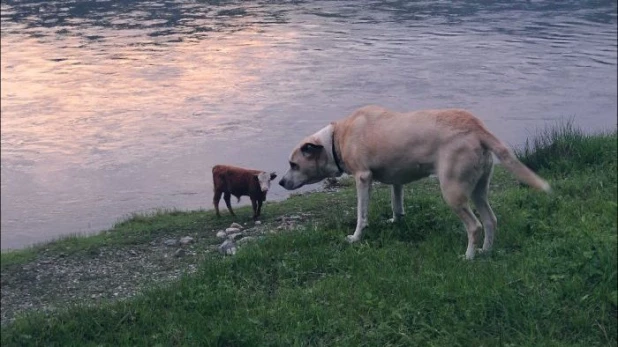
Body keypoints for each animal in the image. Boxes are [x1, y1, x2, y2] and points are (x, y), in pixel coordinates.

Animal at [280, 104, 548, 260]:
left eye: (293, 164)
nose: (281, 182)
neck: (336, 139)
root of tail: (476, 127)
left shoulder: (363, 178)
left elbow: (361, 215)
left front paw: (356, 238)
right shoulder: (396, 180)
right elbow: (396, 204)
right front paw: (396, 222)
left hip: (453, 191)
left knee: (475, 226)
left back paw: (468, 257)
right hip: (478, 189)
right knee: (491, 220)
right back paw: (485, 251)